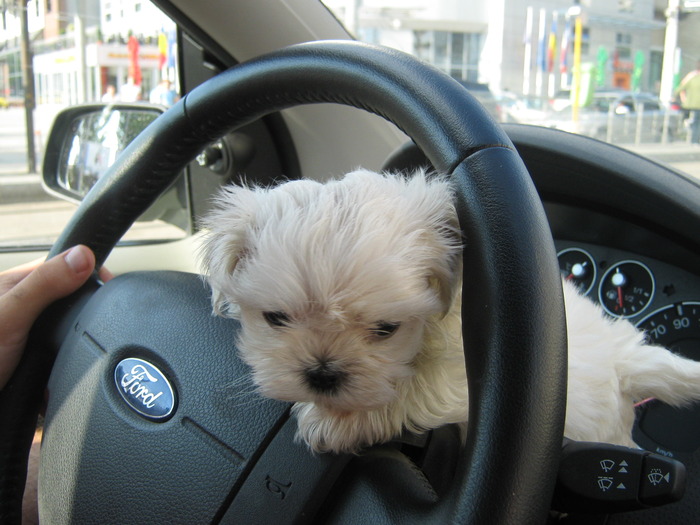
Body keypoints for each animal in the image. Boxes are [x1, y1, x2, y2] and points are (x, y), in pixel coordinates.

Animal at [198, 170, 700, 452]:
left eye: (387, 329)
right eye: (275, 318)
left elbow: (416, 389)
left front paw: (333, 423)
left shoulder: (486, 376)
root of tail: (625, 360)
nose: (323, 374)